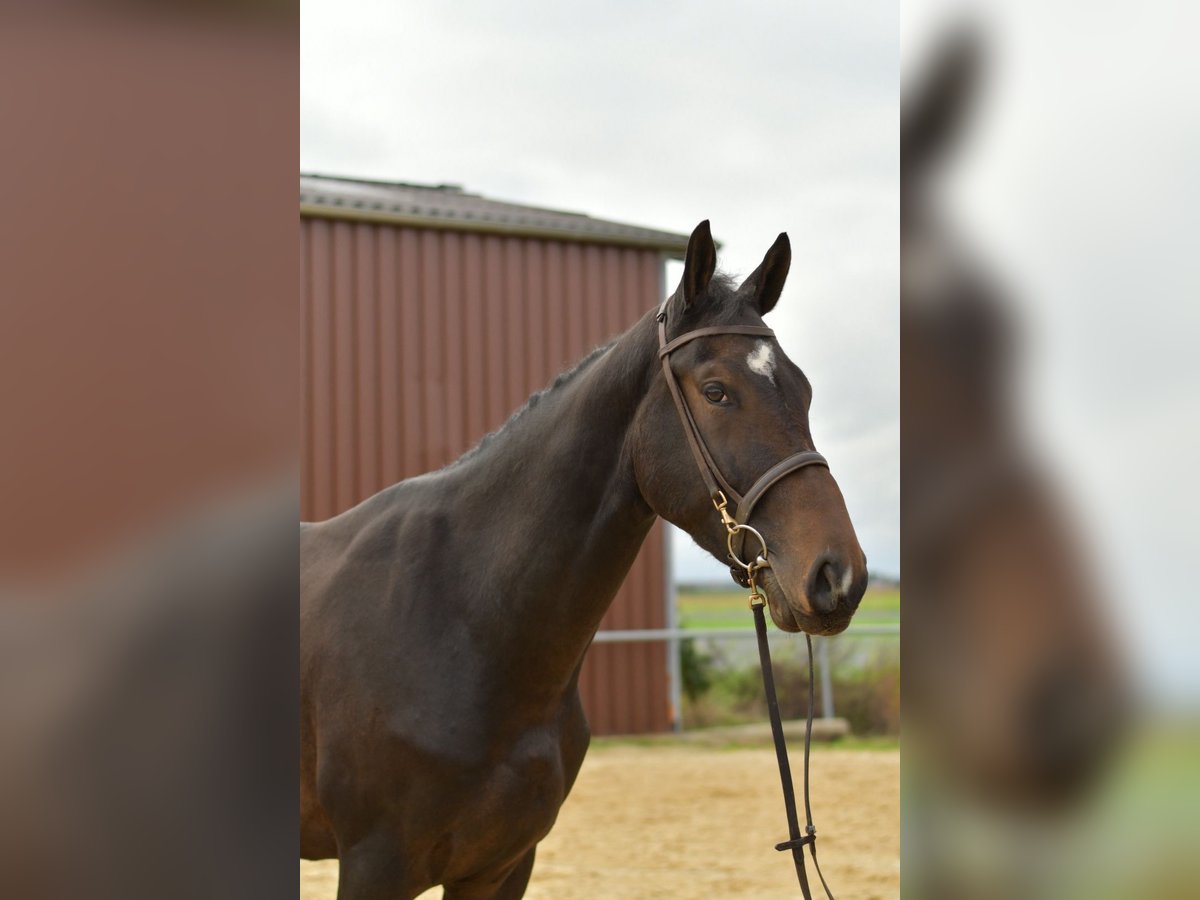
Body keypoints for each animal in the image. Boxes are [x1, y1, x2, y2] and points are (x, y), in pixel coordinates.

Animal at [299, 221, 868, 899]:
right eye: (716, 392)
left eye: (803, 391)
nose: (838, 575)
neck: (461, 622)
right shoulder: (374, 866)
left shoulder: (501, 867)